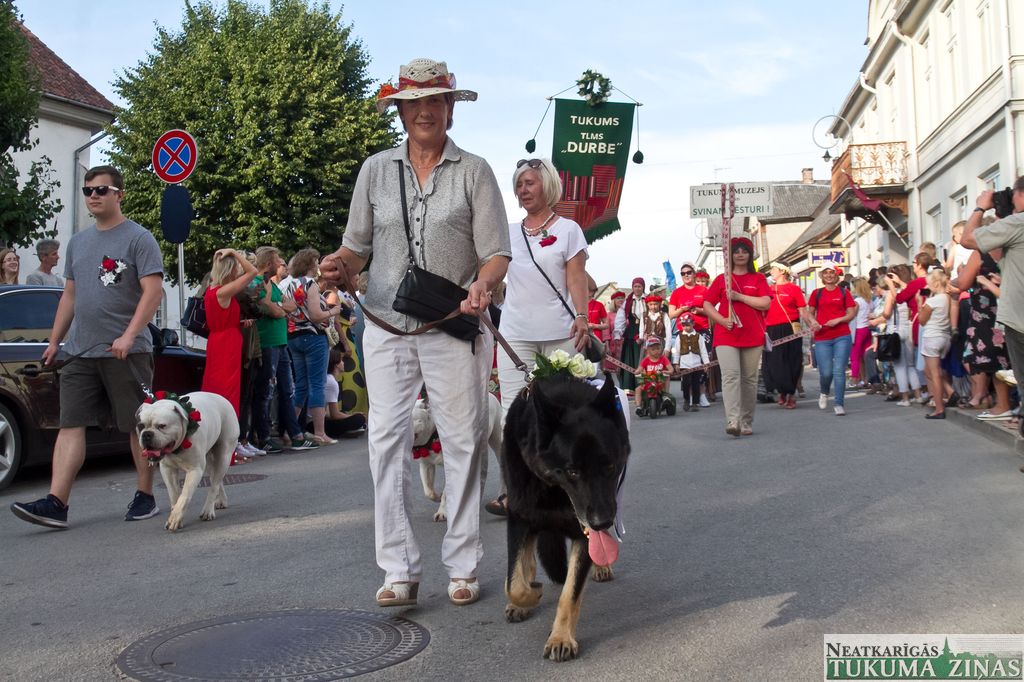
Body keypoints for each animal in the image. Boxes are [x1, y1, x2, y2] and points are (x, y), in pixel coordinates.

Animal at [135, 391, 239, 532]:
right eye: (140, 426)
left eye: (162, 426)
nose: (146, 434)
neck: (176, 448)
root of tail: (221, 398)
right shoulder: (167, 470)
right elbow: (174, 495)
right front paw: (176, 516)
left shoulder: (195, 470)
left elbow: (184, 496)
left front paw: (175, 518)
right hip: (209, 461)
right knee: (216, 479)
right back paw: (221, 501)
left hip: (224, 455)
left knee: (215, 484)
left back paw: (208, 511)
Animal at [412, 392, 503, 522]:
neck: (433, 436)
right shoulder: (425, 465)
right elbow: (428, 491)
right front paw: (437, 497)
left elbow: (446, 493)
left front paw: (442, 511)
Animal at [501, 375, 630, 661]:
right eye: (572, 471)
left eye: (610, 466)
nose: (602, 522)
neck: (553, 489)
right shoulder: (518, 516)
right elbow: (514, 583)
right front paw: (529, 594)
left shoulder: (583, 530)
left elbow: (569, 593)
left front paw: (560, 637)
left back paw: (601, 566)